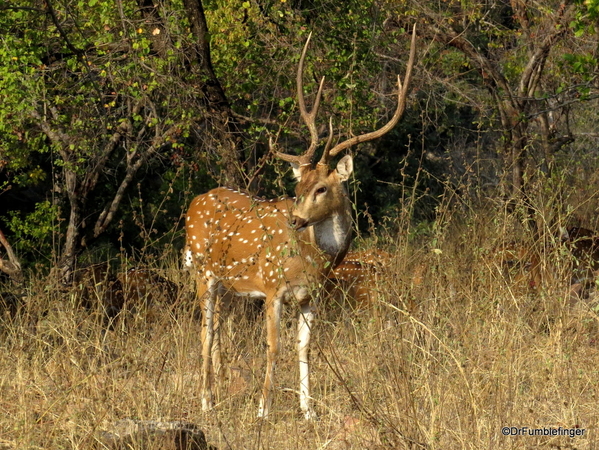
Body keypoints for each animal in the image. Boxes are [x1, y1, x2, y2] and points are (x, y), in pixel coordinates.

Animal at [186, 28, 418, 420]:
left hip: (225, 283)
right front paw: (263, 410)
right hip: (202, 272)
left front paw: (307, 410)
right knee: (205, 334)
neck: (313, 260)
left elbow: (304, 348)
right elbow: (273, 347)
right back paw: (205, 402)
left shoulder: (311, 296)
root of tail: (194, 201)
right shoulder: (271, 287)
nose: (294, 219)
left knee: (216, 331)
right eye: (297, 188)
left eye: (321, 188)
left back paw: (215, 396)